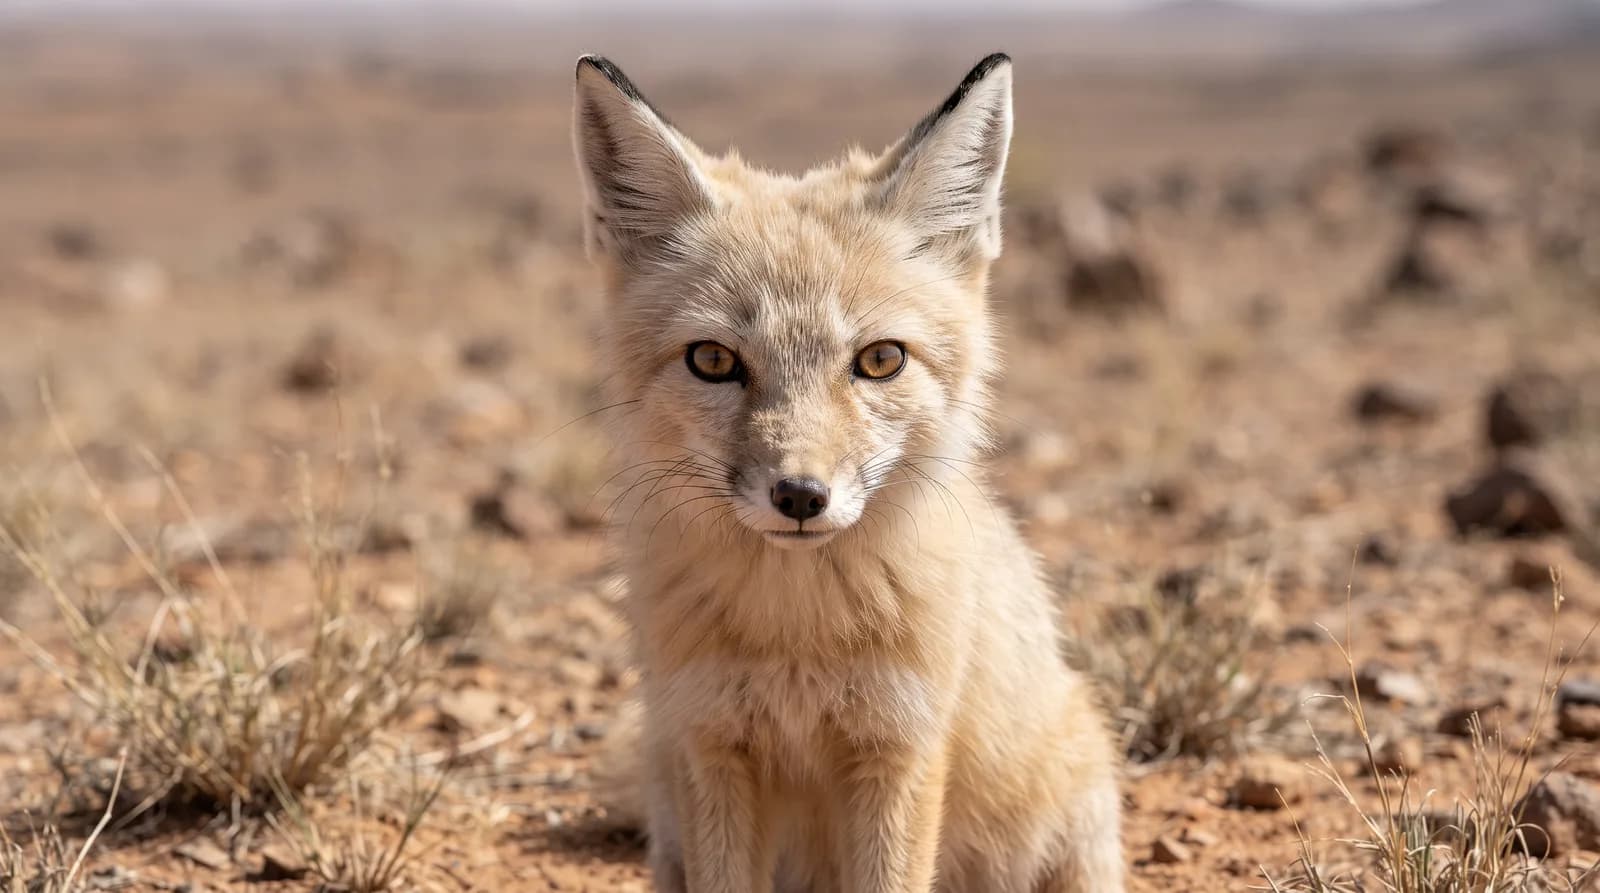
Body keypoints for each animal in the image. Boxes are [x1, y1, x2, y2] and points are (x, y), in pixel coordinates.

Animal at [571, 52, 1124, 893]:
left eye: (880, 360)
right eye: (713, 360)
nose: (800, 496)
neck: (797, 633)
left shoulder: (898, 745)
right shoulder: (712, 742)